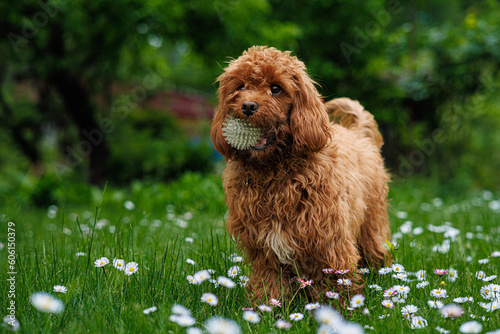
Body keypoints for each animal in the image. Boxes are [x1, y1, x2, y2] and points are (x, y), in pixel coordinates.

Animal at [211, 45, 390, 304]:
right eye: (241, 86)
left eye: (276, 88)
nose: (247, 106)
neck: (275, 170)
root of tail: (358, 134)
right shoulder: (264, 249)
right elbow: (269, 284)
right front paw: (267, 308)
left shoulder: (329, 239)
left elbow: (336, 279)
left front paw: (339, 308)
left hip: (371, 225)